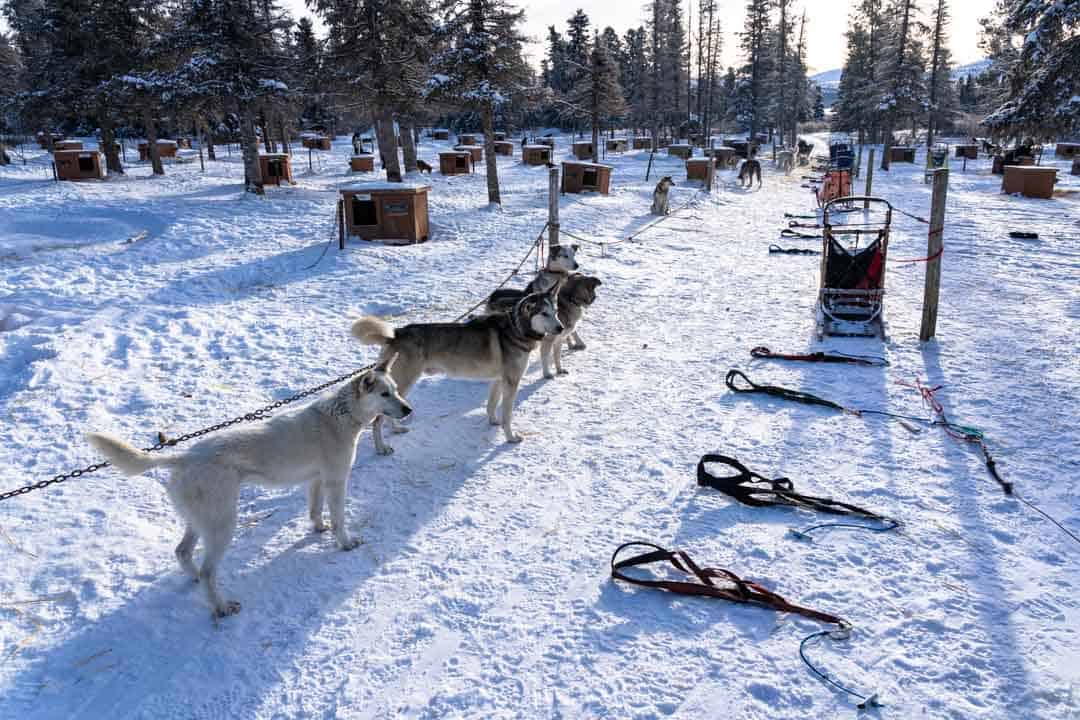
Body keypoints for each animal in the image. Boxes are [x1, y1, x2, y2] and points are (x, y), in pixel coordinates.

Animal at [85, 360, 408, 621]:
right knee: (208, 571)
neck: (340, 414)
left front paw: (319, 529)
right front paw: (346, 542)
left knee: (183, 553)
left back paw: (195, 581)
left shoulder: (316, 480)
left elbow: (315, 511)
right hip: (223, 525)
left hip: (201, 522)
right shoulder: (336, 481)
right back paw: (221, 607)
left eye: (395, 390)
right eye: (384, 394)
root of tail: (185, 456)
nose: (409, 409)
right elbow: (340, 520)